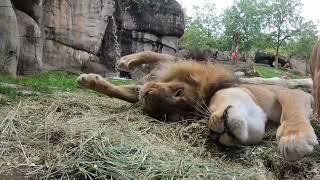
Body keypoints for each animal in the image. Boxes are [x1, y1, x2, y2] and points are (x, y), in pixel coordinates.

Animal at [77, 50, 318, 160]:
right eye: (178, 92)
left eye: (164, 116)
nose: (147, 94)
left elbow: (292, 111)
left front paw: (294, 138)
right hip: (169, 65)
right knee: (160, 55)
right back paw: (124, 62)